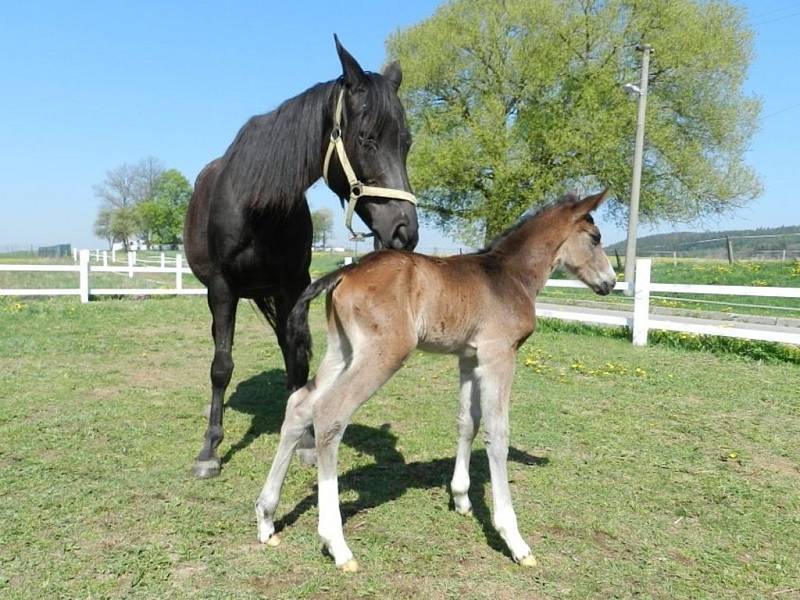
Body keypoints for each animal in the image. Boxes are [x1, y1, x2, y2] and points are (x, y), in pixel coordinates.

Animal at [182, 37, 418, 478]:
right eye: (367, 138)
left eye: (406, 143)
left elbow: (297, 359)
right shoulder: (223, 289)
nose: (404, 231)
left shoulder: (293, 286)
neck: (256, 205)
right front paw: (210, 448)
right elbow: (221, 365)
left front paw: (305, 439)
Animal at [253, 190, 616, 568]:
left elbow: (467, 422)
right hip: (383, 354)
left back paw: (266, 518)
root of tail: (346, 270)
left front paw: (461, 498)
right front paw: (514, 539)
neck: (509, 276)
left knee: (299, 405)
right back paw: (337, 544)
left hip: (342, 351)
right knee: (329, 412)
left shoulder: (469, 358)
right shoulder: (499, 354)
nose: (610, 282)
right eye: (595, 238)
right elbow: (497, 433)